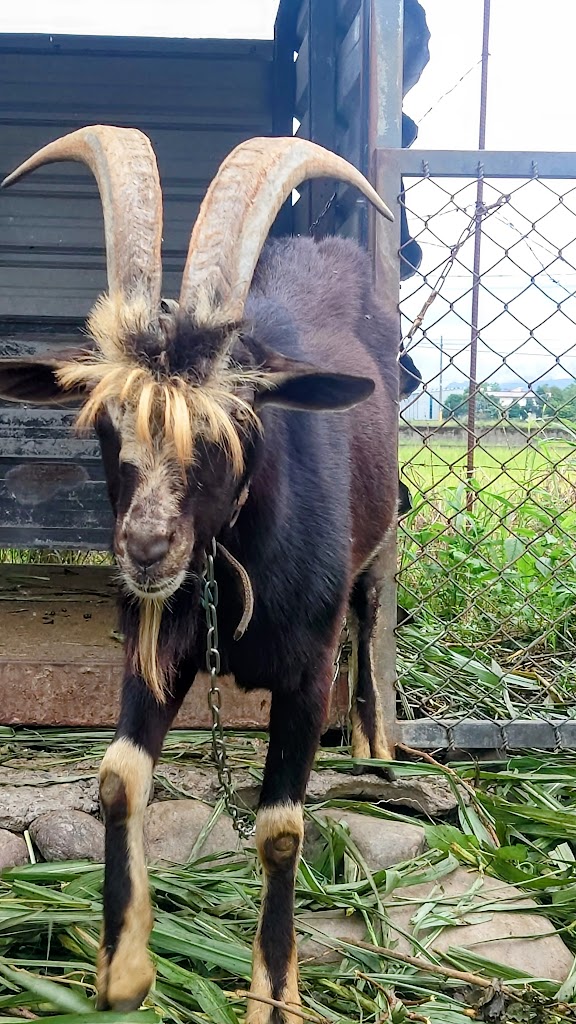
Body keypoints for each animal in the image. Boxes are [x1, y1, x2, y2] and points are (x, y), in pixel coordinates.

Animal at [1, 130, 399, 1024]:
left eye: (231, 423)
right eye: (107, 421)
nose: (146, 548)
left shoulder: (307, 671)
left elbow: (281, 829)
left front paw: (275, 996)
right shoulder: (159, 640)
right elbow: (118, 777)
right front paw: (122, 970)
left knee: (372, 611)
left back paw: (376, 742)